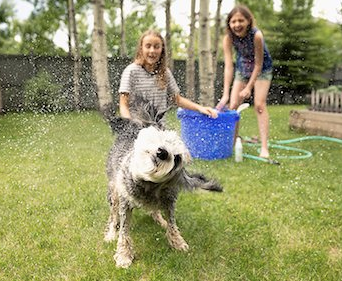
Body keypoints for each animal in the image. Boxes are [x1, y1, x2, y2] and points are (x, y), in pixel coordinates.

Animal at [103, 100, 223, 266]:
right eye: (164, 141)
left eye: (177, 158)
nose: (163, 152)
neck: (147, 185)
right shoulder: (124, 202)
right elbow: (124, 230)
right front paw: (124, 255)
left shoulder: (169, 201)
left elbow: (172, 223)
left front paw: (177, 242)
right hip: (114, 191)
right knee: (113, 215)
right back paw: (111, 234)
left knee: (154, 210)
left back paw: (160, 220)